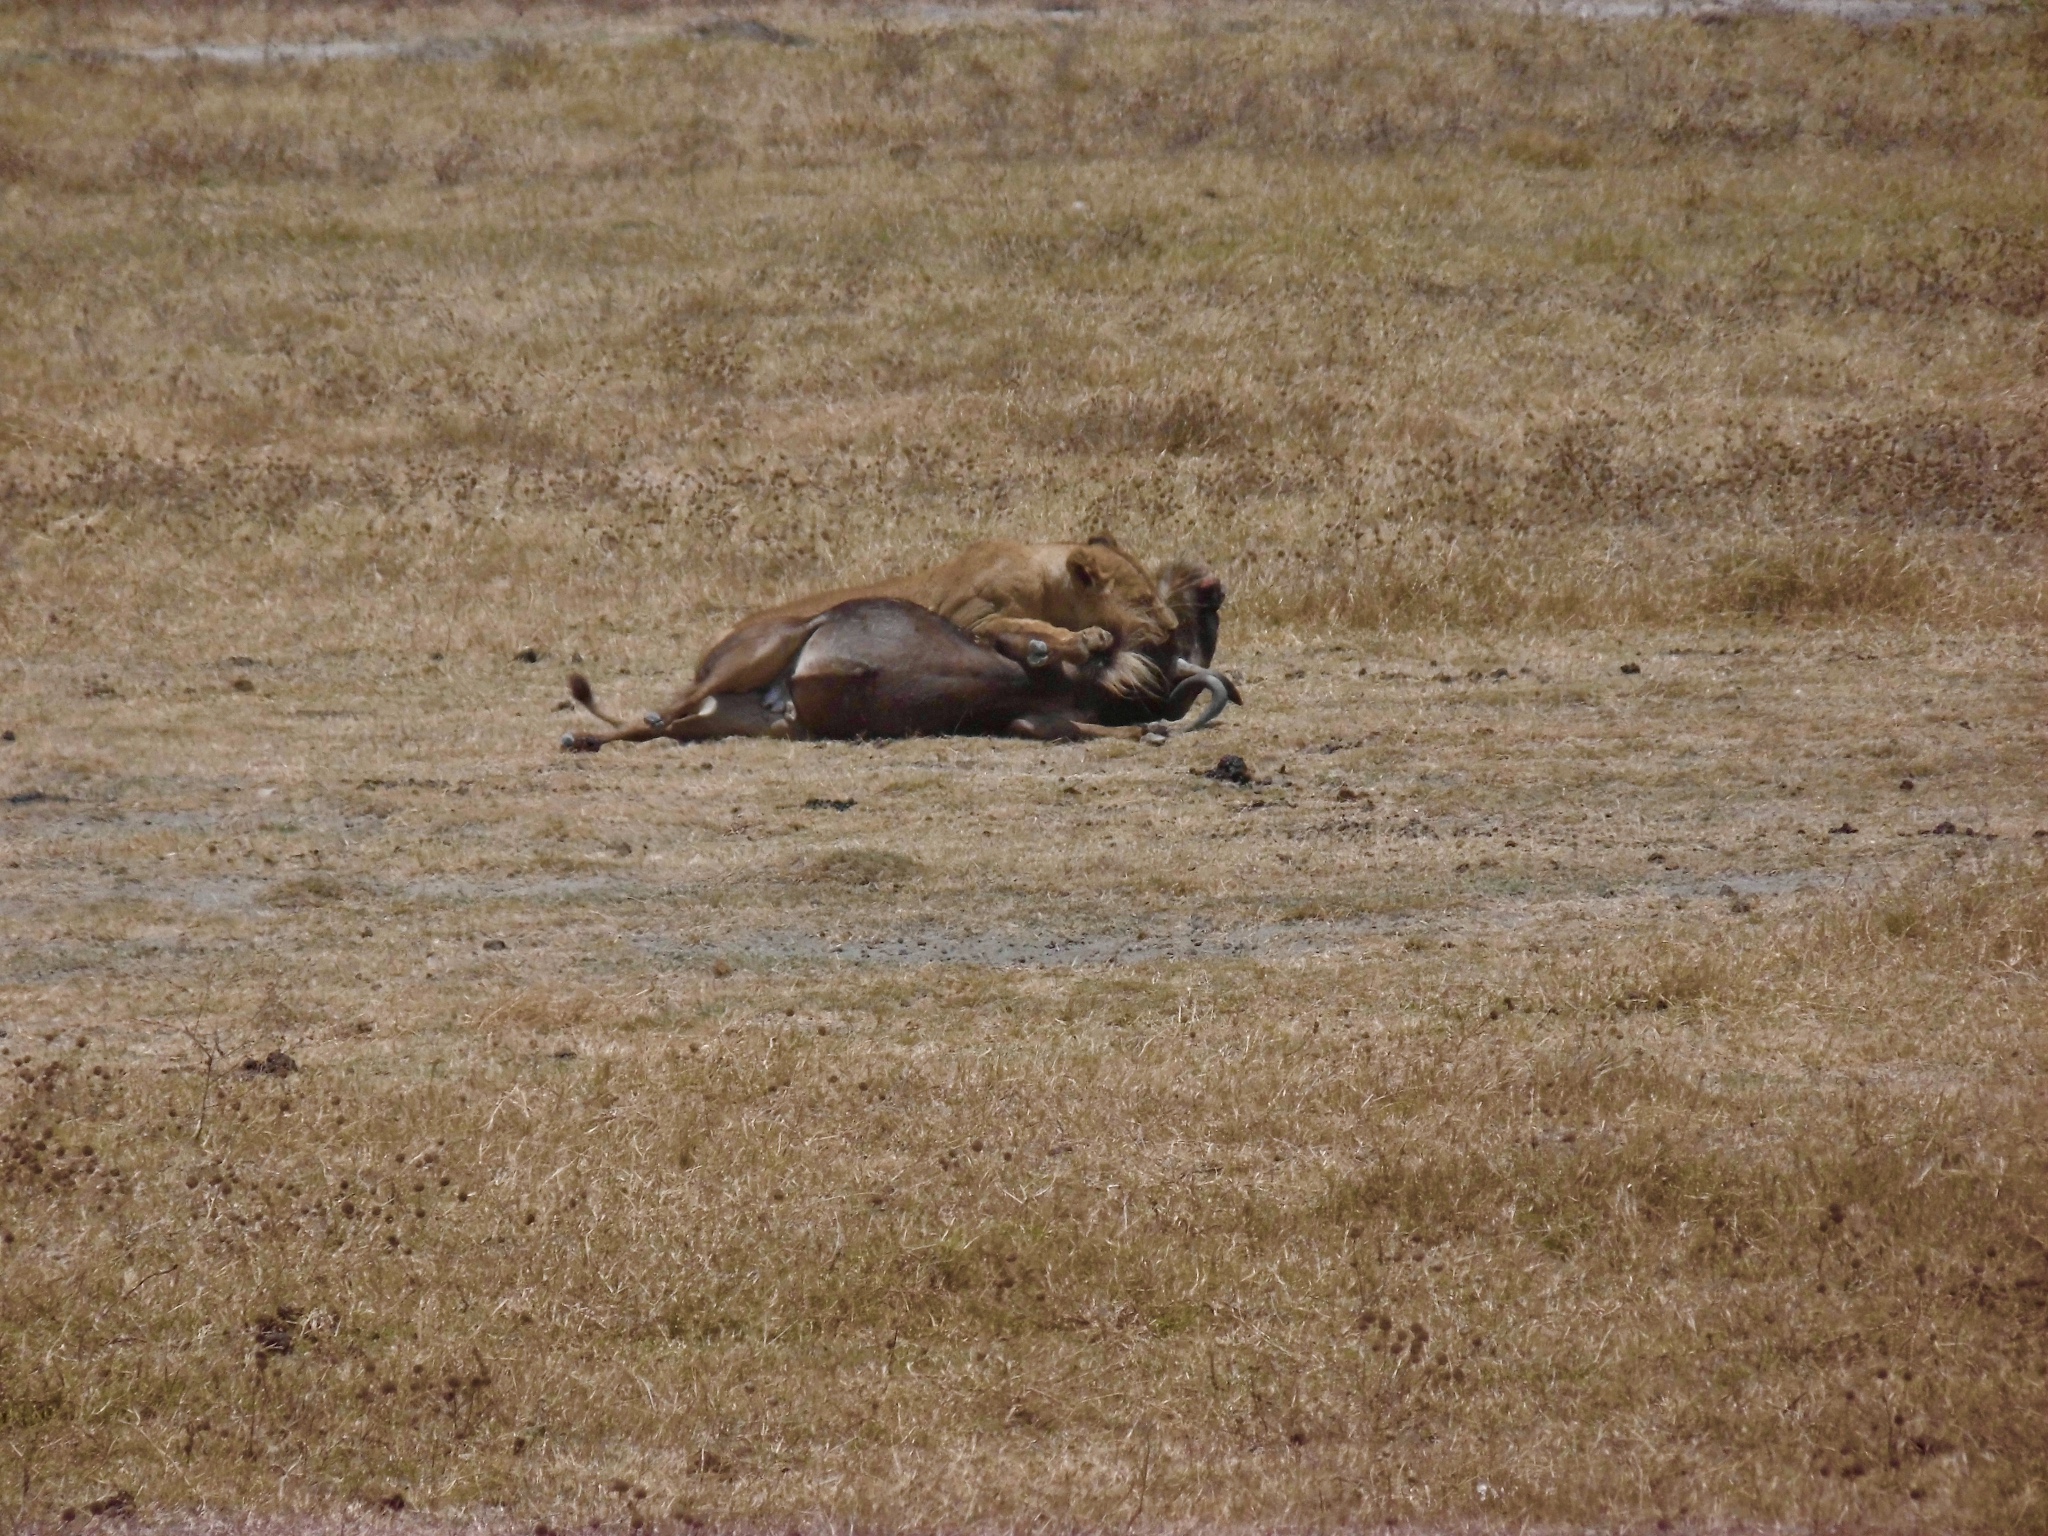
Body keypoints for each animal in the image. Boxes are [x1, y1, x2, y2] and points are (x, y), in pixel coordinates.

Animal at [573, 536, 1187, 753]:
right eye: (1140, 597)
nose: (1172, 630)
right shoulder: (974, 614)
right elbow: (1026, 632)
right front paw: (1080, 640)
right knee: (665, 708)